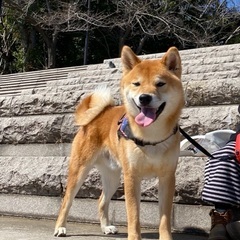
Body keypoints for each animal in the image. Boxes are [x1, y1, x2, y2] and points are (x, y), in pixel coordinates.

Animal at [54, 46, 185, 239]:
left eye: (160, 84)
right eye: (136, 84)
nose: (144, 98)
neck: (151, 137)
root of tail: (100, 113)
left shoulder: (167, 177)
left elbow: (164, 218)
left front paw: (166, 237)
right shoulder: (131, 177)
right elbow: (134, 216)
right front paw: (134, 237)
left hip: (113, 176)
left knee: (101, 201)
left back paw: (106, 227)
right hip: (80, 170)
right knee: (66, 201)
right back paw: (60, 228)